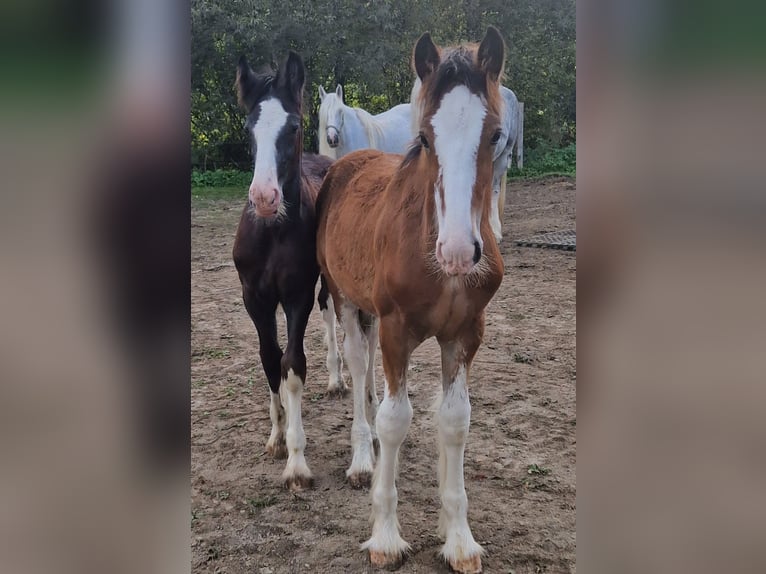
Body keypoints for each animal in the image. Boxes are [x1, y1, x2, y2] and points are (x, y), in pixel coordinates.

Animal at [232, 51, 344, 490]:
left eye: (293, 126)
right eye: (249, 127)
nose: (264, 198)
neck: (273, 231)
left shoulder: (297, 295)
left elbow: (293, 366)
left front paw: (297, 461)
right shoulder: (255, 298)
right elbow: (269, 359)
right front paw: (277, 436)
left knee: (330, 311)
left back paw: (337, 379)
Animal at [316, 29, 508, 574]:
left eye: (495, 135)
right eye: (424, 138)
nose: (459, 252)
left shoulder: (465, 334)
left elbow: (454, 420)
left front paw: (458, 538)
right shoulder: (397, 328)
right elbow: (396, 419)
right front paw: (385, 535)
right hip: (344, 299)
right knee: (360, 367)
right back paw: (363, 458)